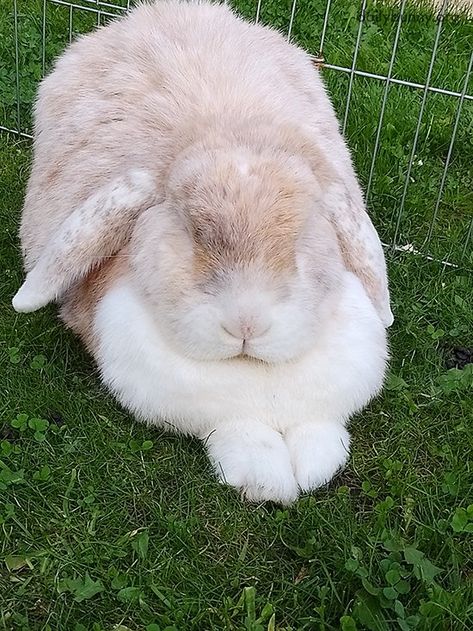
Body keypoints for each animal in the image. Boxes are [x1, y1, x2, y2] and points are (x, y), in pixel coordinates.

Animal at [12, 0, 392, 504]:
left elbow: (319, 435)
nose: (246, 324)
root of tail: (158, 12)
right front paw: (267, 481)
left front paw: (314, 470)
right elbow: (242, 436)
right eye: (192, 231)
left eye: (300, 236)